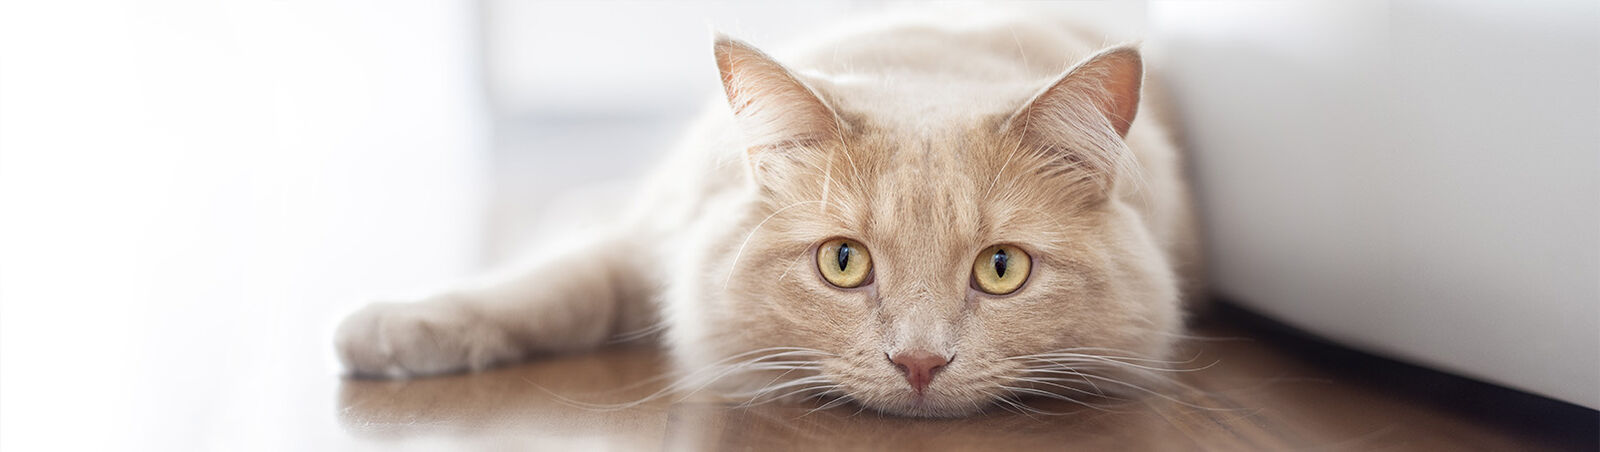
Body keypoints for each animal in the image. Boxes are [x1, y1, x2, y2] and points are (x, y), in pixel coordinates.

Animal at [334, 10, 1203, 419]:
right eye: (844, 262)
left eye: (1001, 269)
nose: (920, 365)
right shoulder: (658, 238)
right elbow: (557, 286)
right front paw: (399, 328)